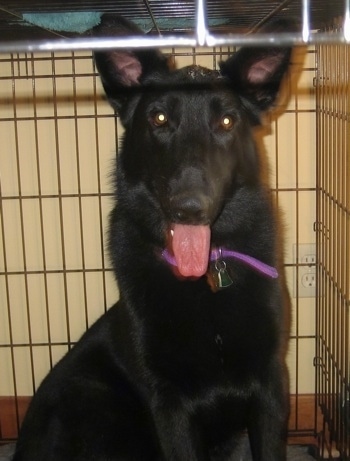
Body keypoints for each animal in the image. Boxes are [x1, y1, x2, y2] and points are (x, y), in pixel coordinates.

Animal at [13, 15, 292, 460]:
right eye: (159, 120)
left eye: (226, 122)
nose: (189, 208)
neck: (207, 275)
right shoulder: (170, 404)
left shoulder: (270, 386)